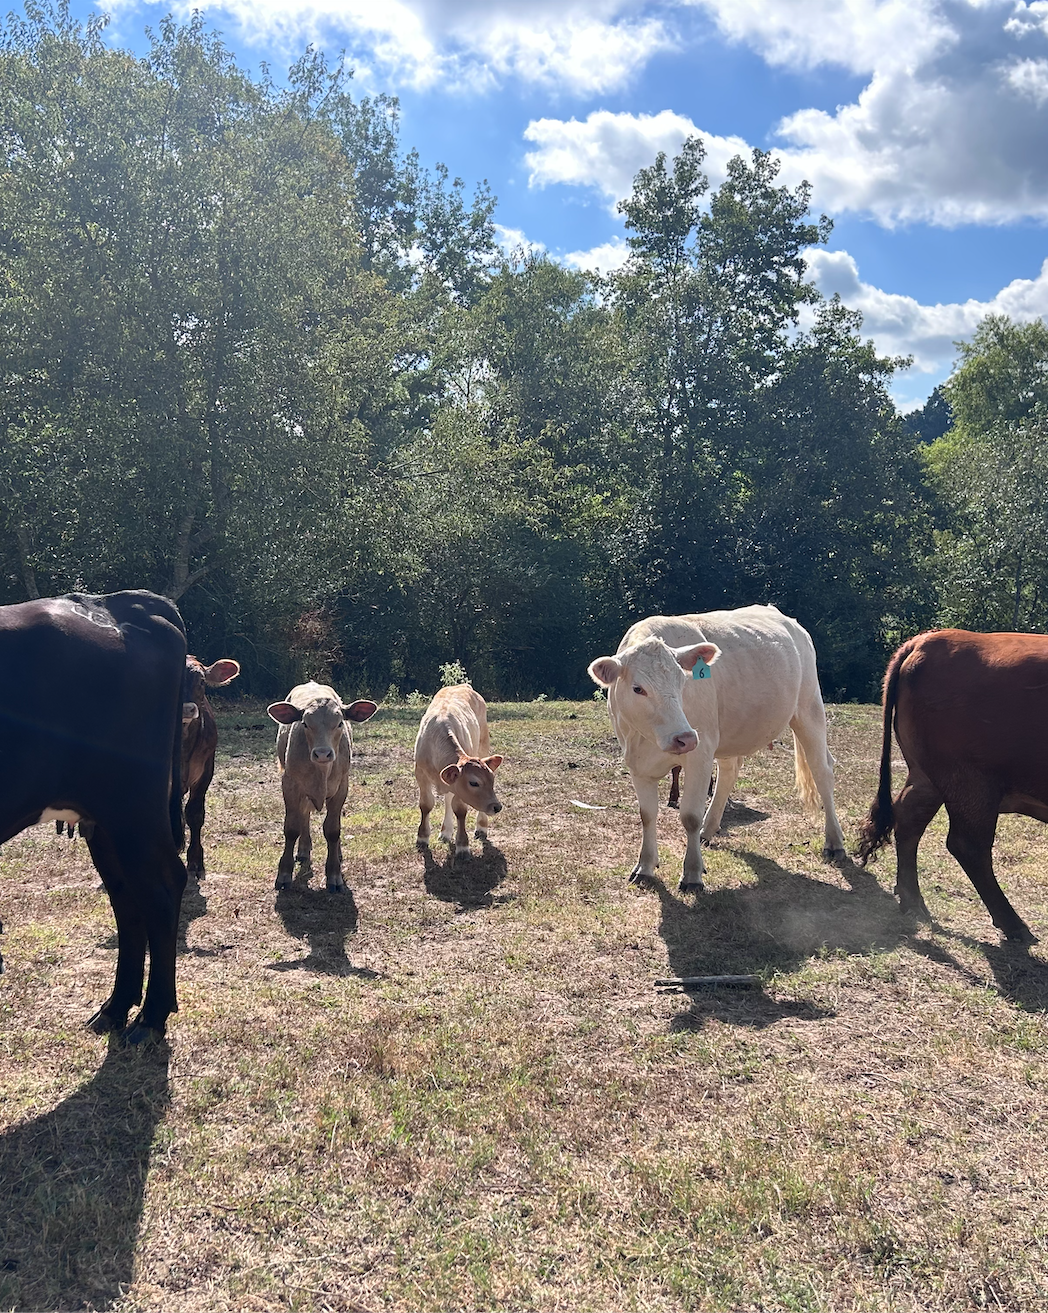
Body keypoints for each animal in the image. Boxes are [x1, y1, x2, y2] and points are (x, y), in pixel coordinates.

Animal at [0, 590, 190, 1042]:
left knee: (161, 889)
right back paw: (116, 1006)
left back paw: (151, 1016)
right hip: (106, 823)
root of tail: (116, 602)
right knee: (127, 898)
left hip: (132, 809)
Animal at [266, 682, 379, 891]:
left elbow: (333, 830)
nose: (323, 753)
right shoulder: (290, 785)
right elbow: (291, 827)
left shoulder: (341, 787)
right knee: (304, 815)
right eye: (305, 723)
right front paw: (284, 874)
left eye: (340, 723)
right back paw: (303, 849)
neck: (321, 772)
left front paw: (334, 874)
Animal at [414, 685, 503, 858]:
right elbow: (426, 804)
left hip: (483, 744)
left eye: (492, 780)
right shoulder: (420, 774)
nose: (497, 807)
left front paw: (462, 845)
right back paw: (446, 832)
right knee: (448, 798)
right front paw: (422, 837)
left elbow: (460, 810)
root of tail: (462, 685)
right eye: (474, 782)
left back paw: (481, 826)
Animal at [588, 605, 846, 891]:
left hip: (809, 709)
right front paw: (645, 867)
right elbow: (647, 814)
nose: (685, 738)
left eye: (683, 682)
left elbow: (690, 816)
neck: (647, 740)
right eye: (638, 688)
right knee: (729, 773)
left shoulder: (700, 754)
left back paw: (834, 842)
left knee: (822, 771)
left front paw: (692, 873)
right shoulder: (637, 763)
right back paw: (708, 830)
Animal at [858, 629, 1048, 944]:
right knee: (968, 845)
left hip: (929, 778)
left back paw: (913, 901)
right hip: (971, 783)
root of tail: (927, 640)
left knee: (908, 819)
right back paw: (1014, 924)